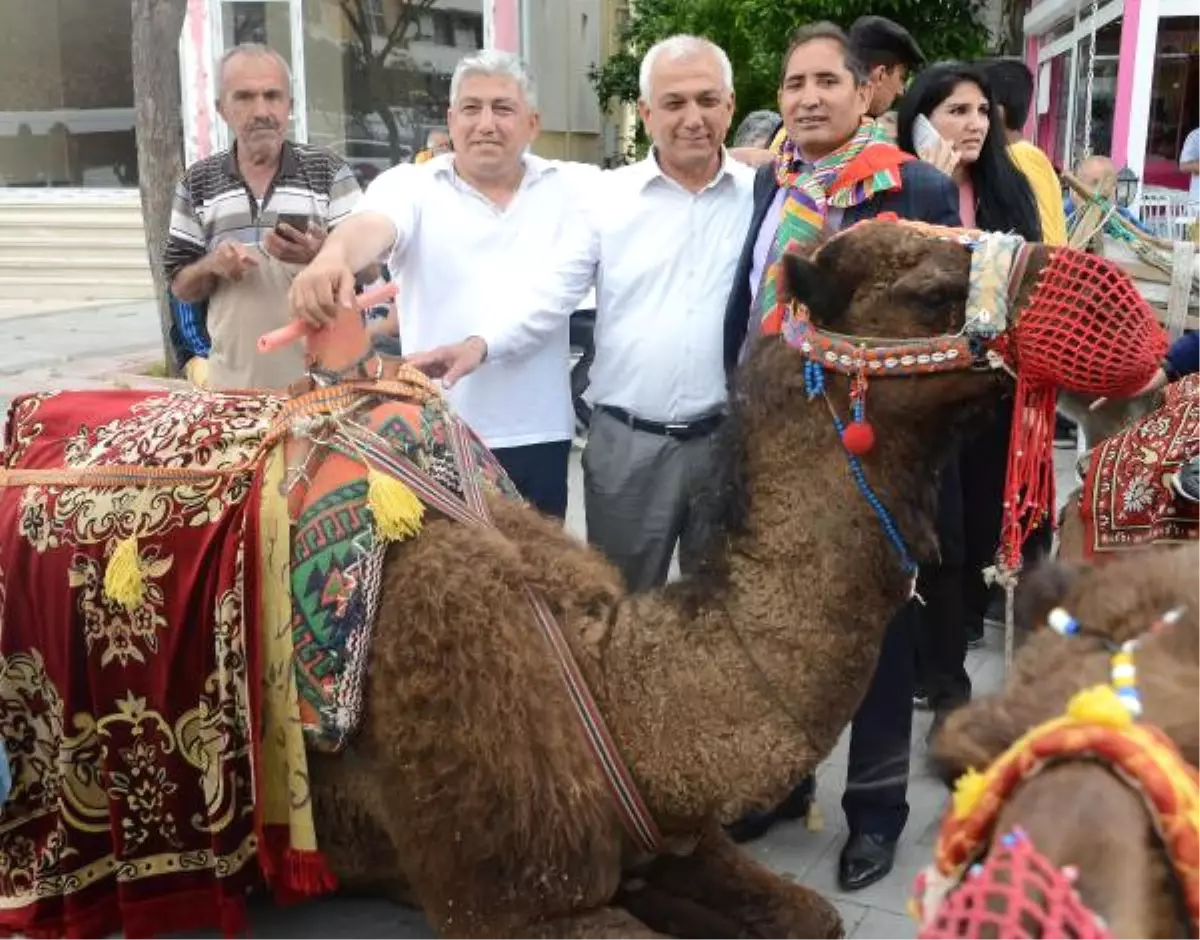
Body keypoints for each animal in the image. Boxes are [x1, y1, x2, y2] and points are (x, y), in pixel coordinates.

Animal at [0, 222, 1161, 940]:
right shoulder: (515, 903)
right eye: (926, 288)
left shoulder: (668, 836)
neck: (611, 689)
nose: (1122, 304)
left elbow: (812, 915)